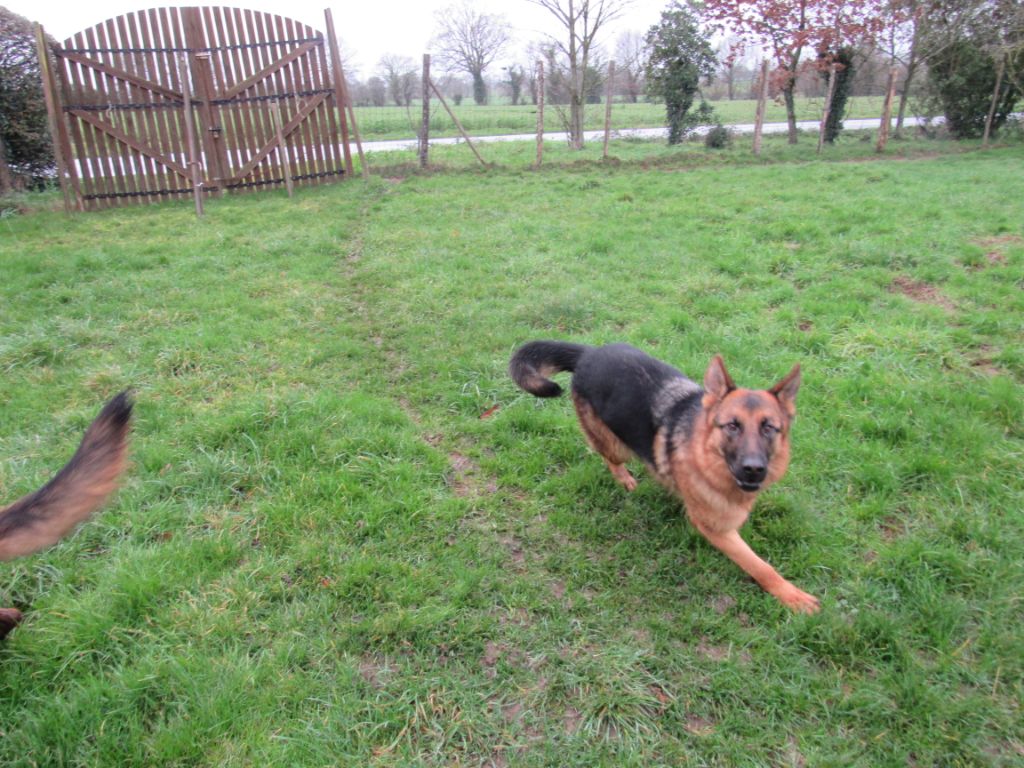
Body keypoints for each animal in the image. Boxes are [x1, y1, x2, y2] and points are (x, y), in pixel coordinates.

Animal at [512, 342, 823, 614]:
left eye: (769, 428)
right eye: (732, 426)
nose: (754, 468)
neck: (704, 451)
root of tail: (589, 352)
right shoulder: (715, 529)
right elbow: (759, 564)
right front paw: (790, 595)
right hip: (617, 445)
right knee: (607, 456)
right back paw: (624, 478)